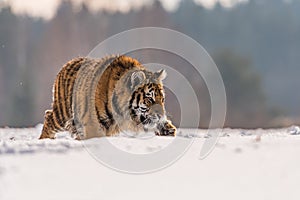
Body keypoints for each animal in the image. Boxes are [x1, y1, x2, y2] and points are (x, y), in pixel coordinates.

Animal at [39, 54, 176, 139]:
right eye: (149, 99)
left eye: (162, 99)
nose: (161, 115)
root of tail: (66, 64)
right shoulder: (92, 125)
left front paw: (168, 130)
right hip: (62, 113)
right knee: (48, 116)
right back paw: (45, 140)